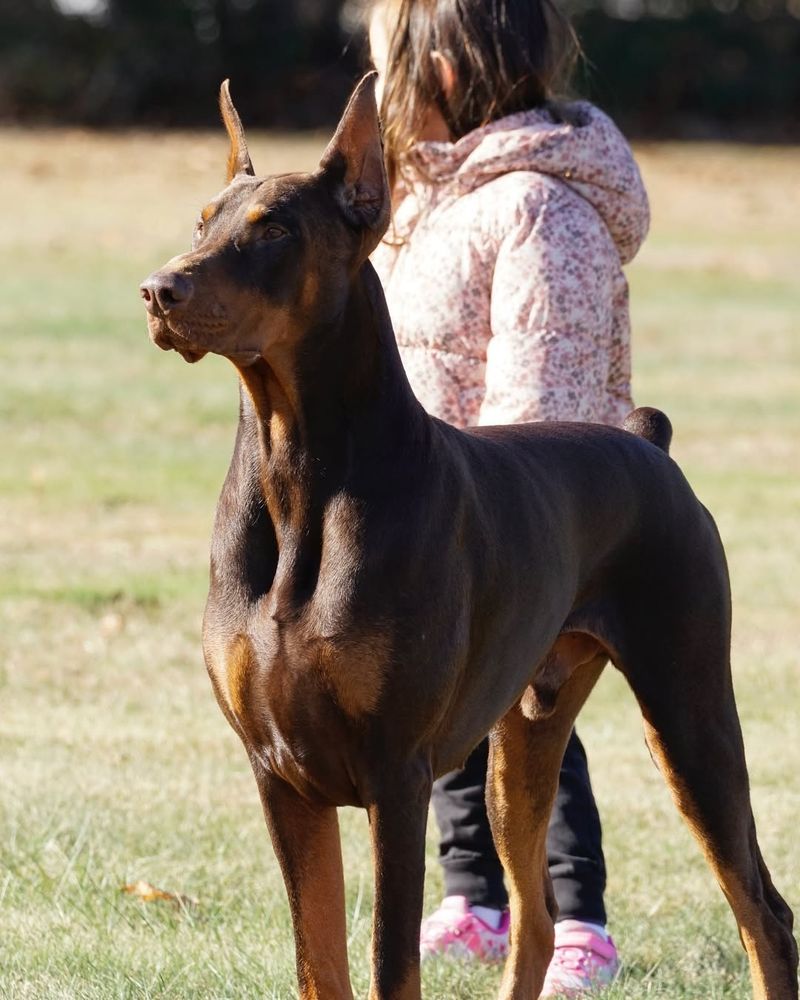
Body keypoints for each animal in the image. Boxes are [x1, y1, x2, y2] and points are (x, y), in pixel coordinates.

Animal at [141, 74, 796, 996]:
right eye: (204, 220)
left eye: (272, 228)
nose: (157, 290)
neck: (296, 471)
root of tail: (649, 443)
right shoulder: (279, 775)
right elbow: (319, 962)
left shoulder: (395, 773)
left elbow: (389, 962)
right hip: (523, 737)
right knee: (536, 915)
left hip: (688, 707)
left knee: (763, 913)